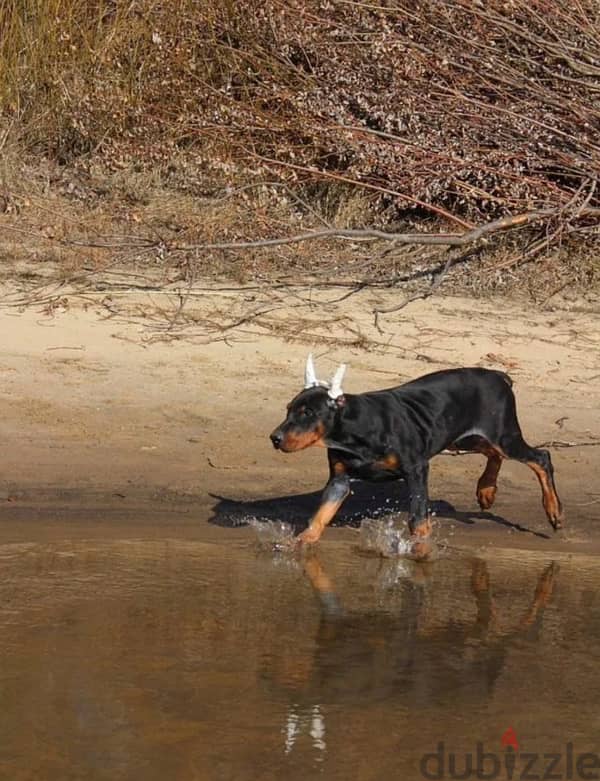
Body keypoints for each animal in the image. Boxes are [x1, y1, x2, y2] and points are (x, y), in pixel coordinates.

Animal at [270, 354, 564, 548]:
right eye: (288, 409)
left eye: (308, 413)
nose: (275, 438)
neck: (354, 428)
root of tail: (500, 376)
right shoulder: (339, 480)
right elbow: (320, 516)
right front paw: (301, 541)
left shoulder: (417, 468)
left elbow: (418, 514)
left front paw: (420, 546)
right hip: (463, 438)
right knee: (494, 454)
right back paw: (486, 490)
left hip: (503, 434)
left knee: (540, 458)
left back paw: (554, 511)